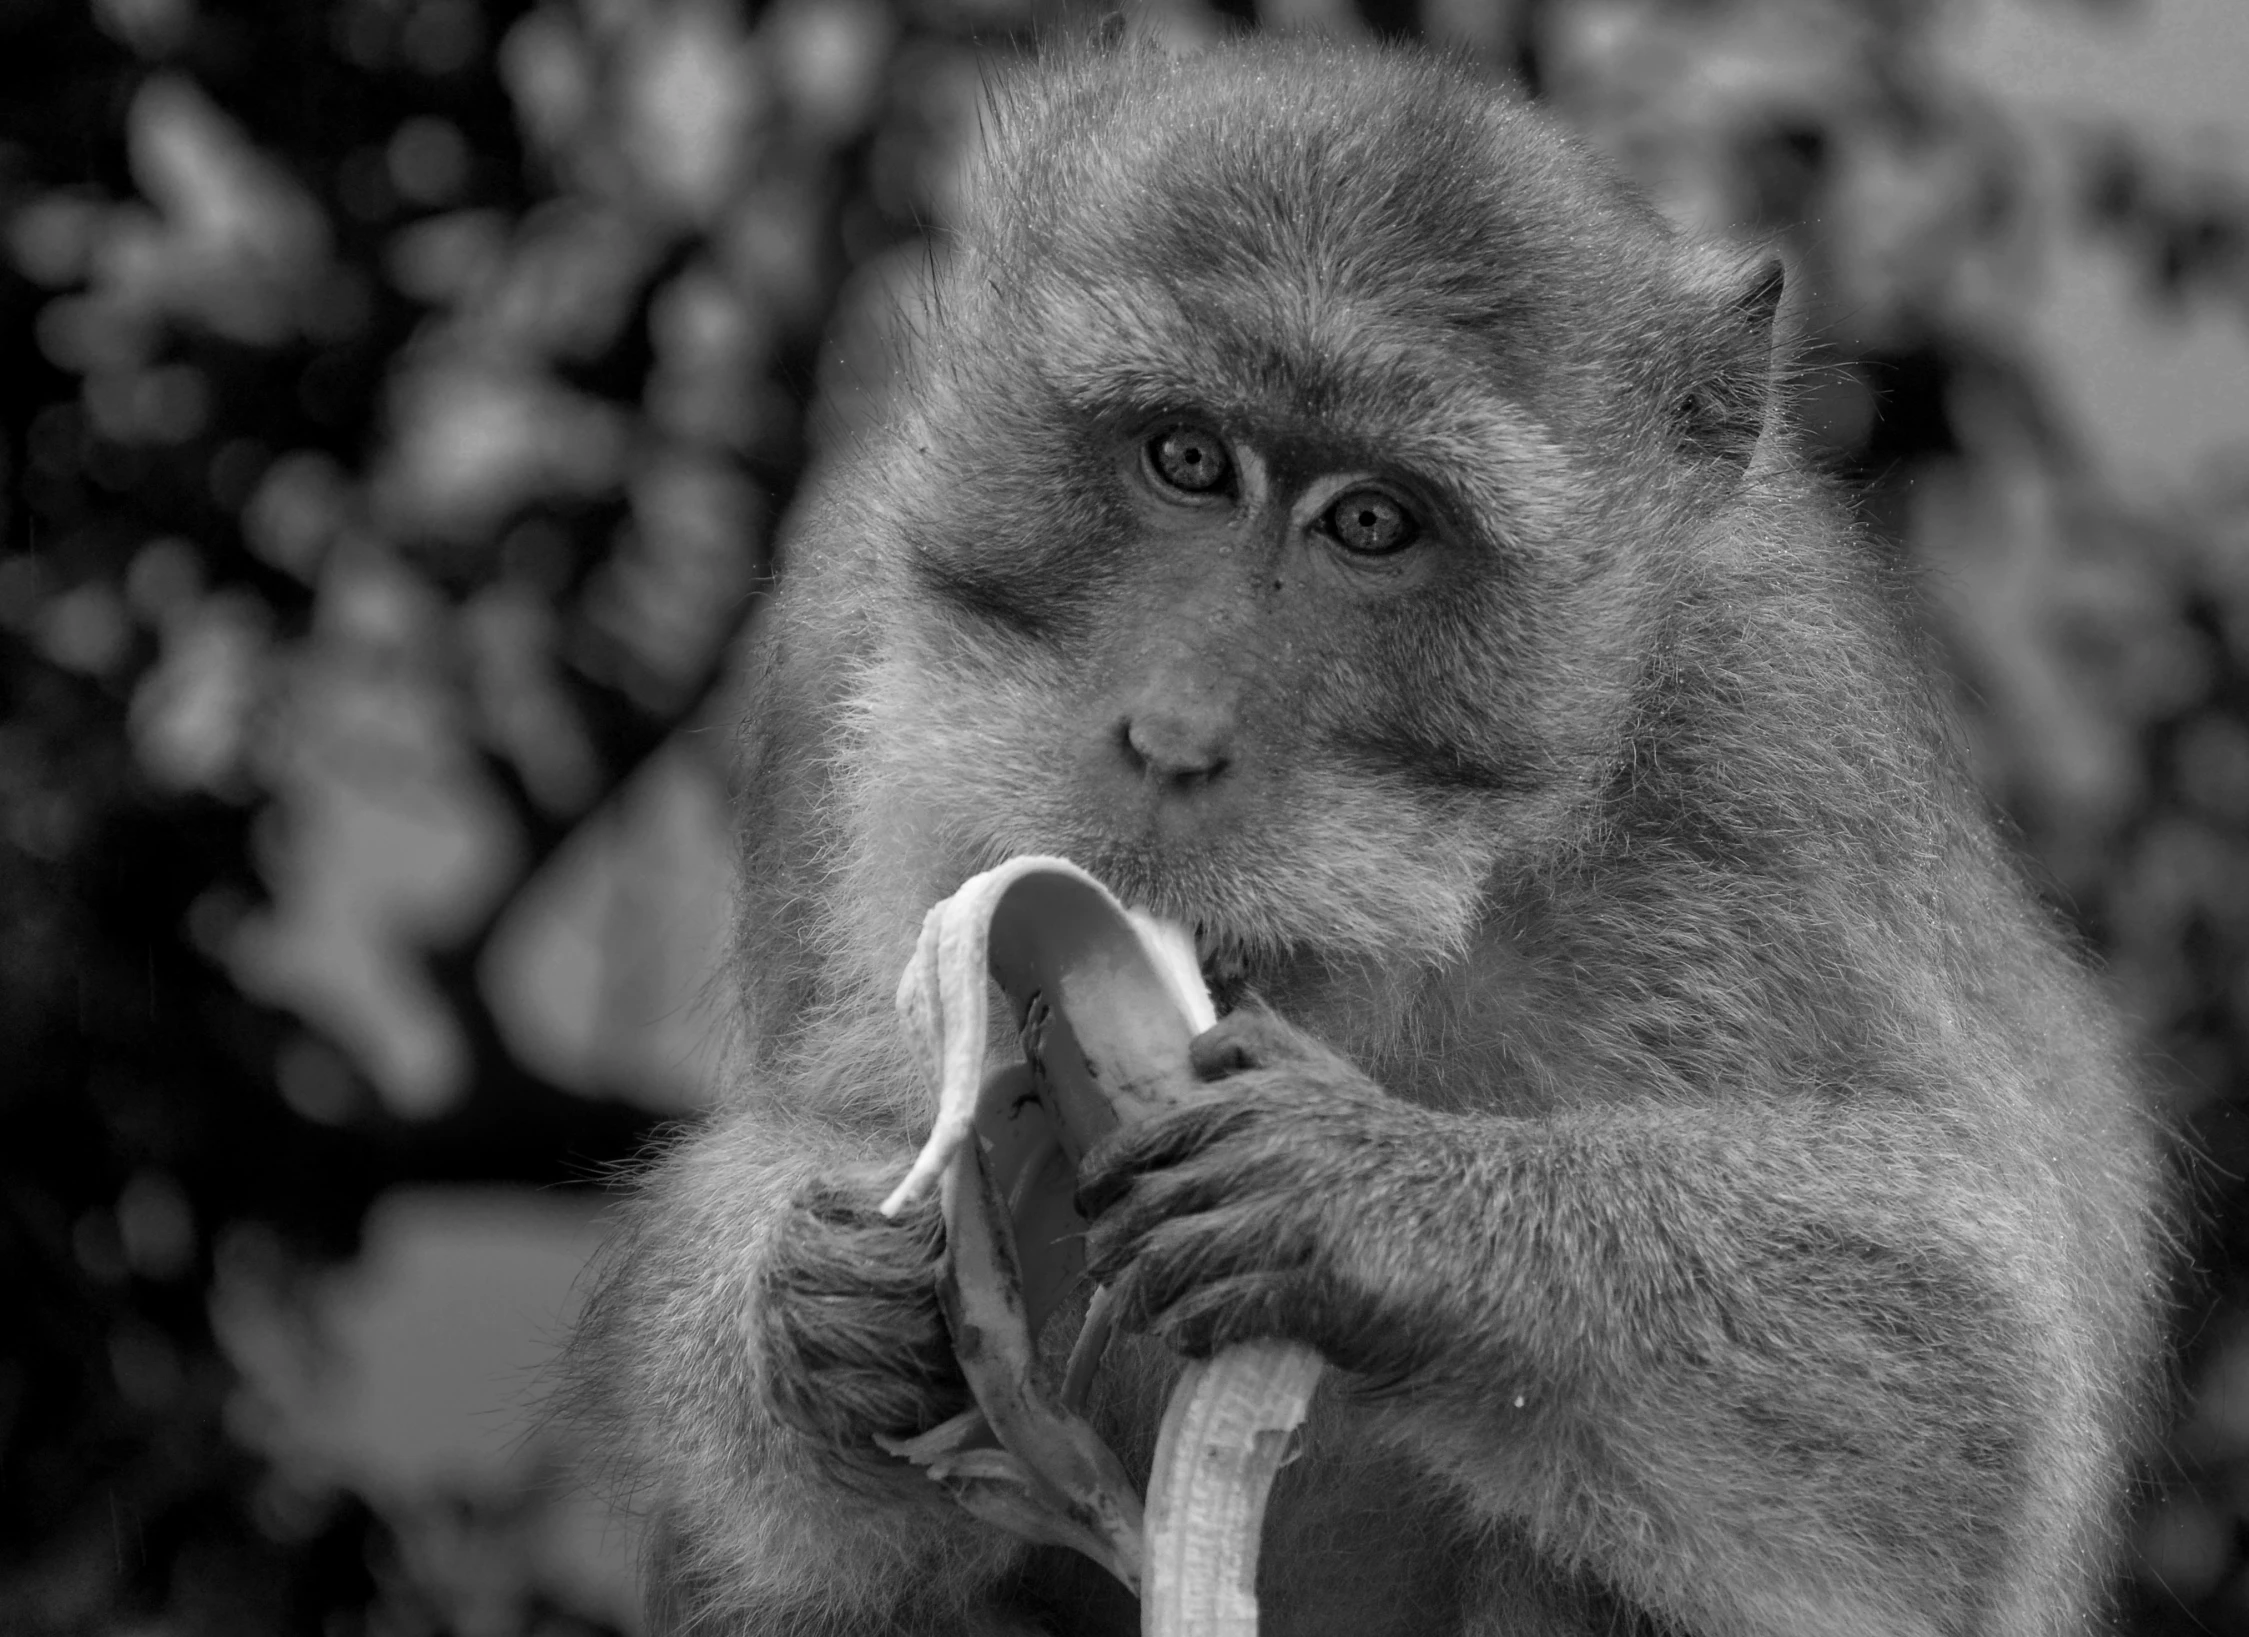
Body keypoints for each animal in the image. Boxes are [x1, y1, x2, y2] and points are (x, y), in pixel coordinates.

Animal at [566, 35, 2177, 1637]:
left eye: (1369, 524)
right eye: (1186, 457)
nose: (1172, 736)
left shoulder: (1764, 740)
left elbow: (1978, 1371)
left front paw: (1370, 1208)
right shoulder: (840, 631)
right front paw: (813, 1309)